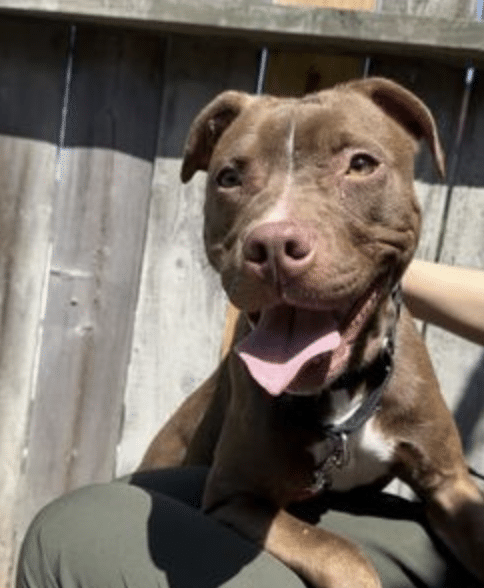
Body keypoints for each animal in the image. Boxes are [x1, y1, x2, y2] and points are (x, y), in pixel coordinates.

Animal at [139, 79, 484, 588]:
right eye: (228, 177)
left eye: (361, 164)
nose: (273, 245)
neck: (343, 392)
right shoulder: (233, 497)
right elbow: (337, 550)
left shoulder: (451, 483)